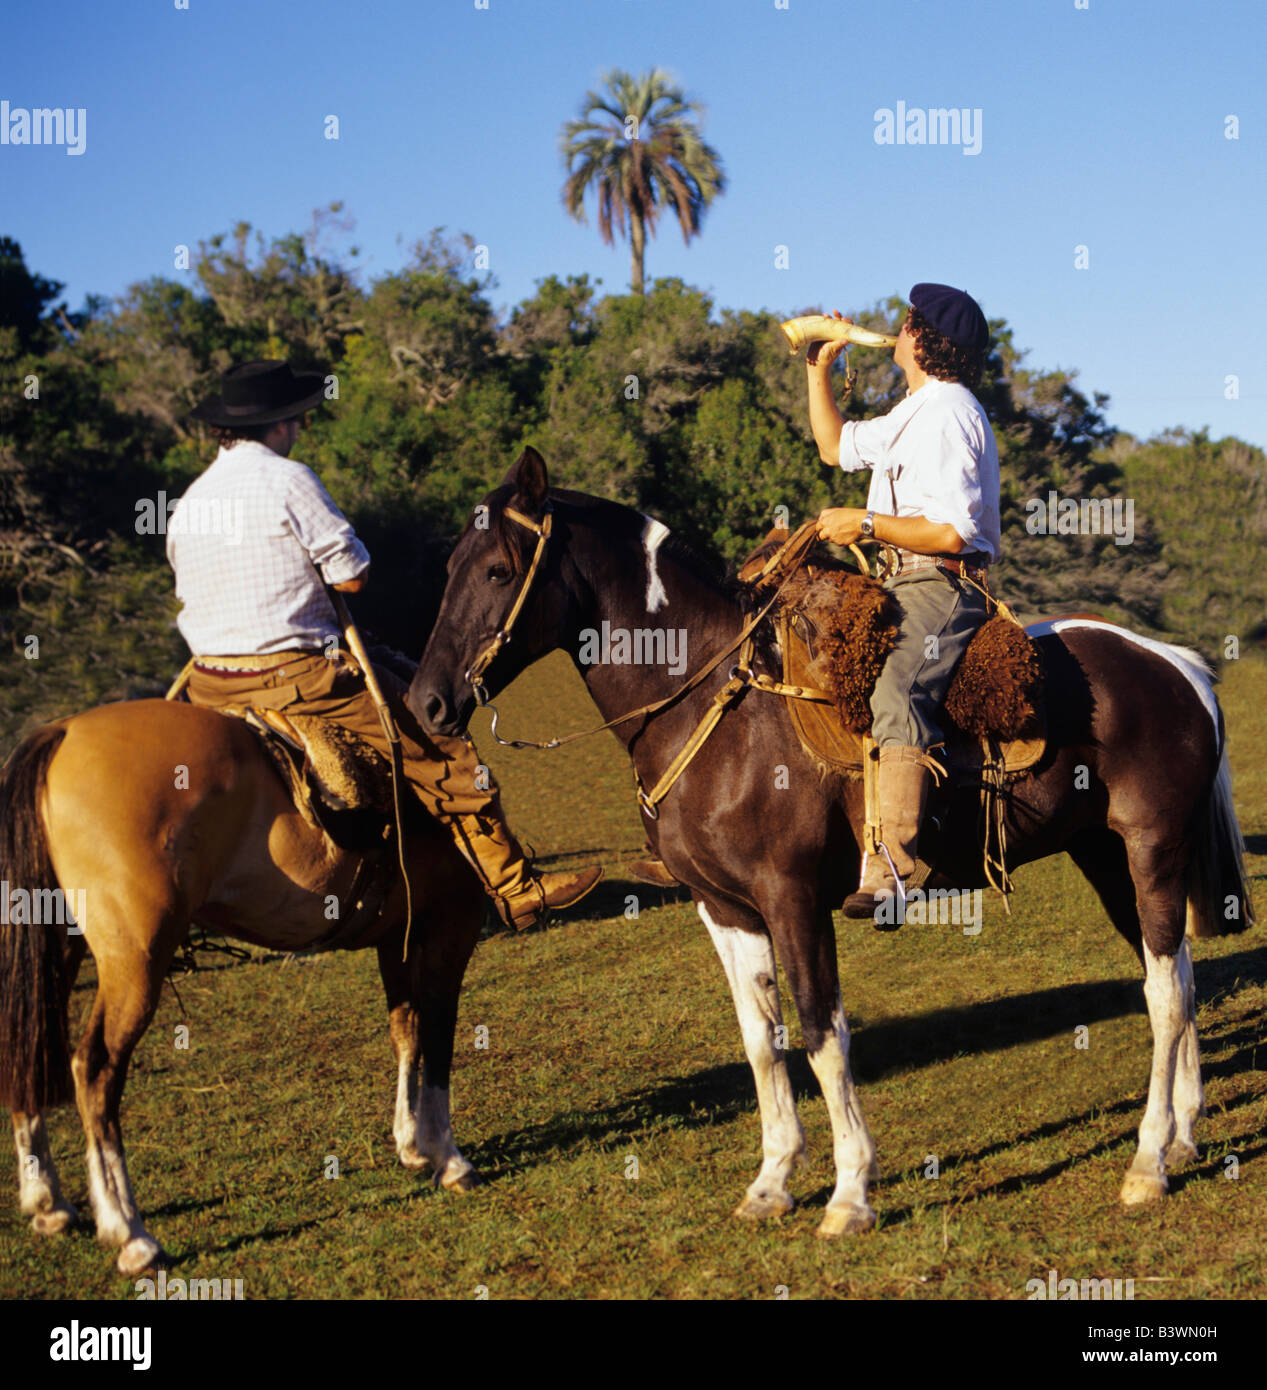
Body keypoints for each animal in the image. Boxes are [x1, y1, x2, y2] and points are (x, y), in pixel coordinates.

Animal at [0, 700, 486, 1273]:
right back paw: (131, 1233)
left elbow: (406, 1033)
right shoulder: (450, 926)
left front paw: (411, 1144)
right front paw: (447, 1157)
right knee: (95, 1069)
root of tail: (60, 731)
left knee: (26, 1051)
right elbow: (438, 1037)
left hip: (58, 946)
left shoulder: (397, 937)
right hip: (134, 961)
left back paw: (48, 1202)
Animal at [413, 453, 1255, 1239]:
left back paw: (1146, 1163)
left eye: (496, 570)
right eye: (447, 569)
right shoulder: (723, 909)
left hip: (1149, 850)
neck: (716, 703)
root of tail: (1175, 665)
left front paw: (849, 1194)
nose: (427, 704)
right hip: (1109, 860)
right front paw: (771, 1183)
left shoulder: (791, 899)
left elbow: (821, 1032)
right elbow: (761, 1040)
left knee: (1164, 992)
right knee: (1174, 974)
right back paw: (1181, 1135)